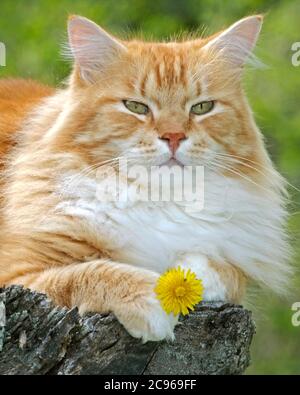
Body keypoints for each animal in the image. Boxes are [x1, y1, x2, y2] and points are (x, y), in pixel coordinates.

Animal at [0, 14, 290, 344]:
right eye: (136, 107)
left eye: (202, 107)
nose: (174, 136)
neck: (158, 199)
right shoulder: (18, 273)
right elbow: (90, 273)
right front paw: (153, 299)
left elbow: (223, 271)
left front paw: (183, 278)